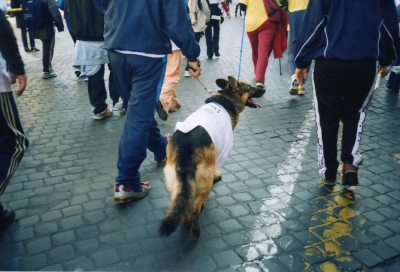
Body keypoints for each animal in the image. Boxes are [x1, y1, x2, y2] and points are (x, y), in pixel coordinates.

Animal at [159, 75, 266, 239]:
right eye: (249, 88)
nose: (264, 89)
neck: (226, 98)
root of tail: (186, 145)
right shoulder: (222, 151)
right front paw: (217, 175)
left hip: (176, 181)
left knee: (183, 201)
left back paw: (185, 220)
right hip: (205, 181)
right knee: (195, 206)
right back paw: (195, 230)